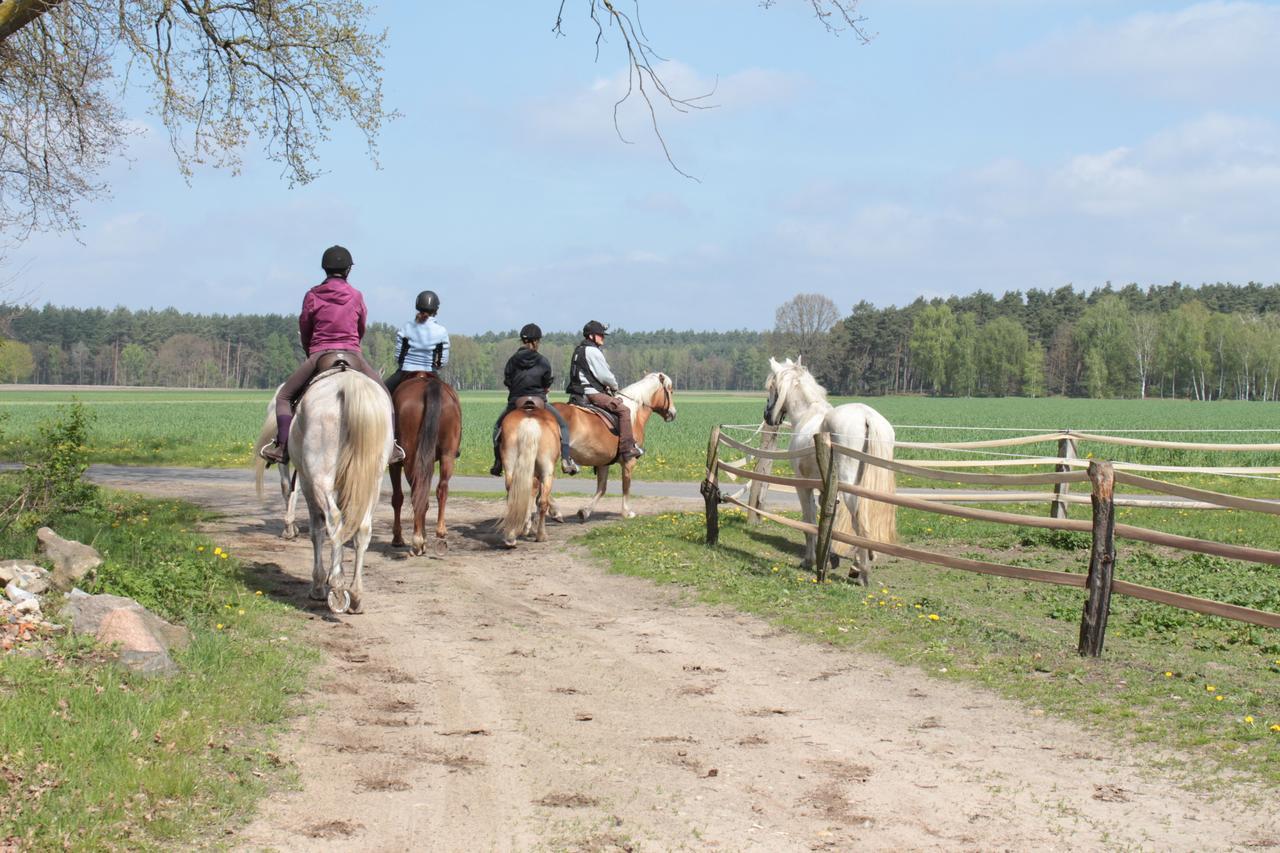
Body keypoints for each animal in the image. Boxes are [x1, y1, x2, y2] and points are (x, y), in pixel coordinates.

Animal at [249, 368, 389, 607]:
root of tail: (348, 384)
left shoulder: (307, 481)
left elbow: (317, 529)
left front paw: (319, 584)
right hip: (372, 482)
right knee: (362, 528)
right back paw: (355, 593)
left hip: (316, 477)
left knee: (329, 516)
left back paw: (337, 584)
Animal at [394, 371, 465, 555]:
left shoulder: (394, 464)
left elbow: (397, 498)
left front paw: (397, 538)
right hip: (447, 454)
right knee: (441, 488)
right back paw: (439, 533)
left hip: (410, 458)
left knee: (416, 492)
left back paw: (417, 540)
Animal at [496, 399, 563, 545]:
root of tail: (529, 421)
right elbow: (537, 496)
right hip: (547, 471)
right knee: (542, 501)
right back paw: (540, 534)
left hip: (510, 467)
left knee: (514, 494)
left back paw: (511, 536)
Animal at [552, 371, 680, 517]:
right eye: (670, 391)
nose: (673, 413)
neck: (634, 413)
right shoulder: (629, 461)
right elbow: (626, 485)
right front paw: (627, 512)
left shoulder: (603, 461)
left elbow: (602, 488)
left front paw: (585, 511)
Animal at [762, 353, 896, 584]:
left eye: (772, 386)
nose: (768, 416)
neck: (807, 414)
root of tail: (866, 416)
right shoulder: (828, 488)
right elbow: (828, 519)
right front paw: (830, 556)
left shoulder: (803, 485)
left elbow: (809, 519)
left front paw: (809, 560)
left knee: (859, 520)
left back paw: (861, 571)